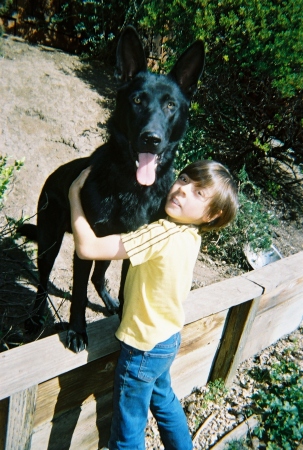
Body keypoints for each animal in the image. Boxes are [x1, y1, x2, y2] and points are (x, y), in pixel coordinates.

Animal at [18, 26, 204, 354]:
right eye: (138, 100)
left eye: (171, 105)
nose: (151, 139)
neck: (131, 185)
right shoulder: (84, 247)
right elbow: (78, 295)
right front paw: (77, 331)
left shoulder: (134, 246)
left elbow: (122, 286)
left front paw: (125, 317)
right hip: (50, 241)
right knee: (43, 281)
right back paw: (36, 318)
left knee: (98, 278)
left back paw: (108, 302)